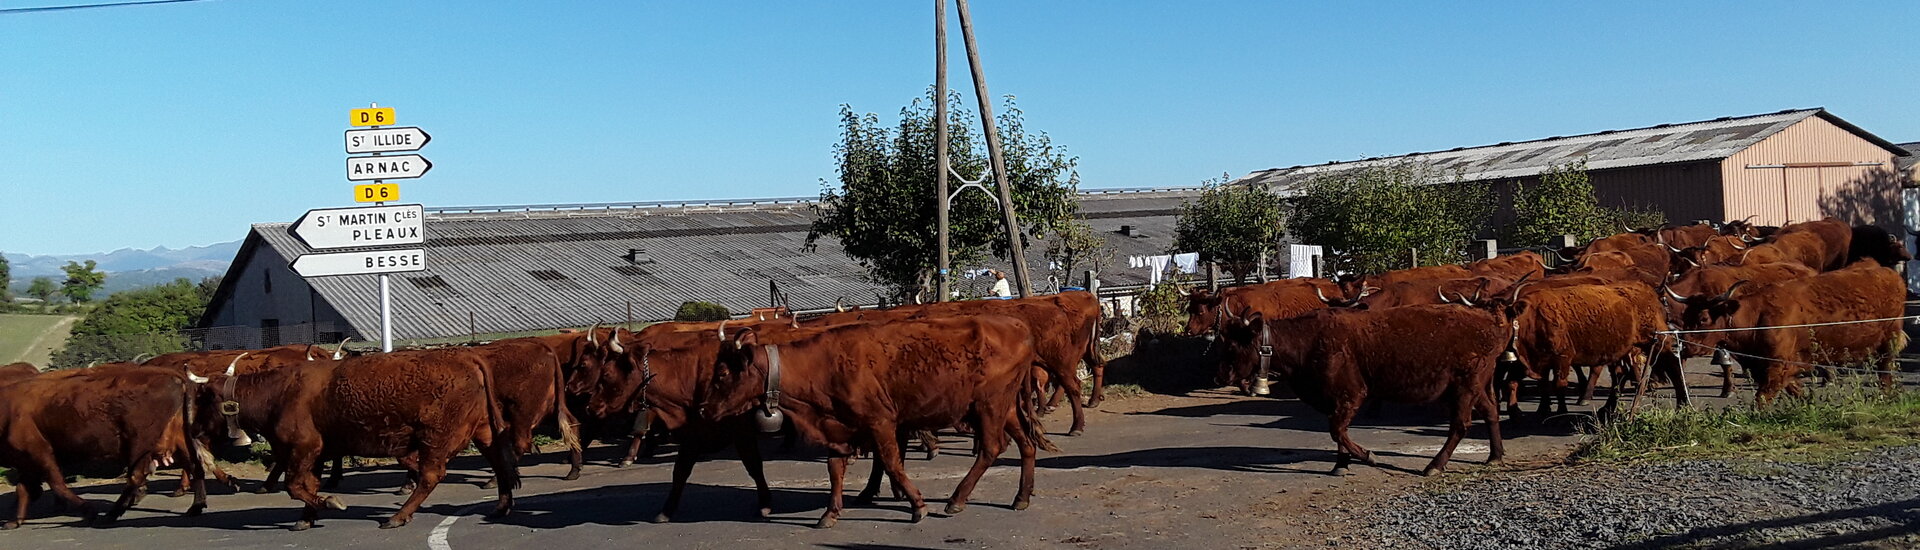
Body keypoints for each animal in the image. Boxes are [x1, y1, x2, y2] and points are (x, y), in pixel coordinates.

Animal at [0, 363, 208, 526]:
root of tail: (173, 375)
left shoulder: (39, 453)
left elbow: (57, 484)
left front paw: (88, 510)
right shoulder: (25, 461)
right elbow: (23, 489)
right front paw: (14, 520)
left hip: (139, 443)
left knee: (136, 476)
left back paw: (112, 514)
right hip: (177, 439)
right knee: (194, 466)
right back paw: (196, 506)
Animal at [194, 346, 518, 530]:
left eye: (203, 400)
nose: (194, 430)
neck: (279, 394)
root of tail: (465, 355)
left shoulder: (303, 448)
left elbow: (295, 486)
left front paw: (329, 503)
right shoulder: (313, 454)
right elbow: (307, 486)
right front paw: (306, 517)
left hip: (435, 437)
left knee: (430, 476)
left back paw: (398, 516)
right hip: (482, 431)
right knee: (499, 462)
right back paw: (502, 506)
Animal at [698, 315, 1052, 526]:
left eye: (723, 373)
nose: (703, 410)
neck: (823, 364)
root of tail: (1015, 324)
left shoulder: (880, 422)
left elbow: (892, 463)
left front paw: (917, 505)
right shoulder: (838, 427)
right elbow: (835, 470)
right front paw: (830, 512)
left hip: (989, 406)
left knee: (991, 448)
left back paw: (956, 500)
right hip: (1004, 408)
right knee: (1025, 445)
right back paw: (1021, 497)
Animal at [1221, 305, 1505, 476]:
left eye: (1234, 345)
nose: (1220, 375)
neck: (1308, 340)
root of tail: (1489, 320)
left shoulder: (1351, 396)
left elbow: (1337, 430)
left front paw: (1369, 457)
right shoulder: (1333, 401)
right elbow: (1339, 432)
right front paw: (1340, 465)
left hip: (1464, 389)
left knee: (1460, 425)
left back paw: (1434, 466)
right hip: (1476, 388)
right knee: (1491, 412)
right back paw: (1495, 456)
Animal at [1666, 259, 1904, 401]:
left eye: (1704, 318)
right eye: (1685, 318)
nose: (1685, 348)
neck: (1757, 318)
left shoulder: (1778, 366)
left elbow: (1761, 400)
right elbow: (1795, 391)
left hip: (1889, 342)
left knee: (1886, 373)